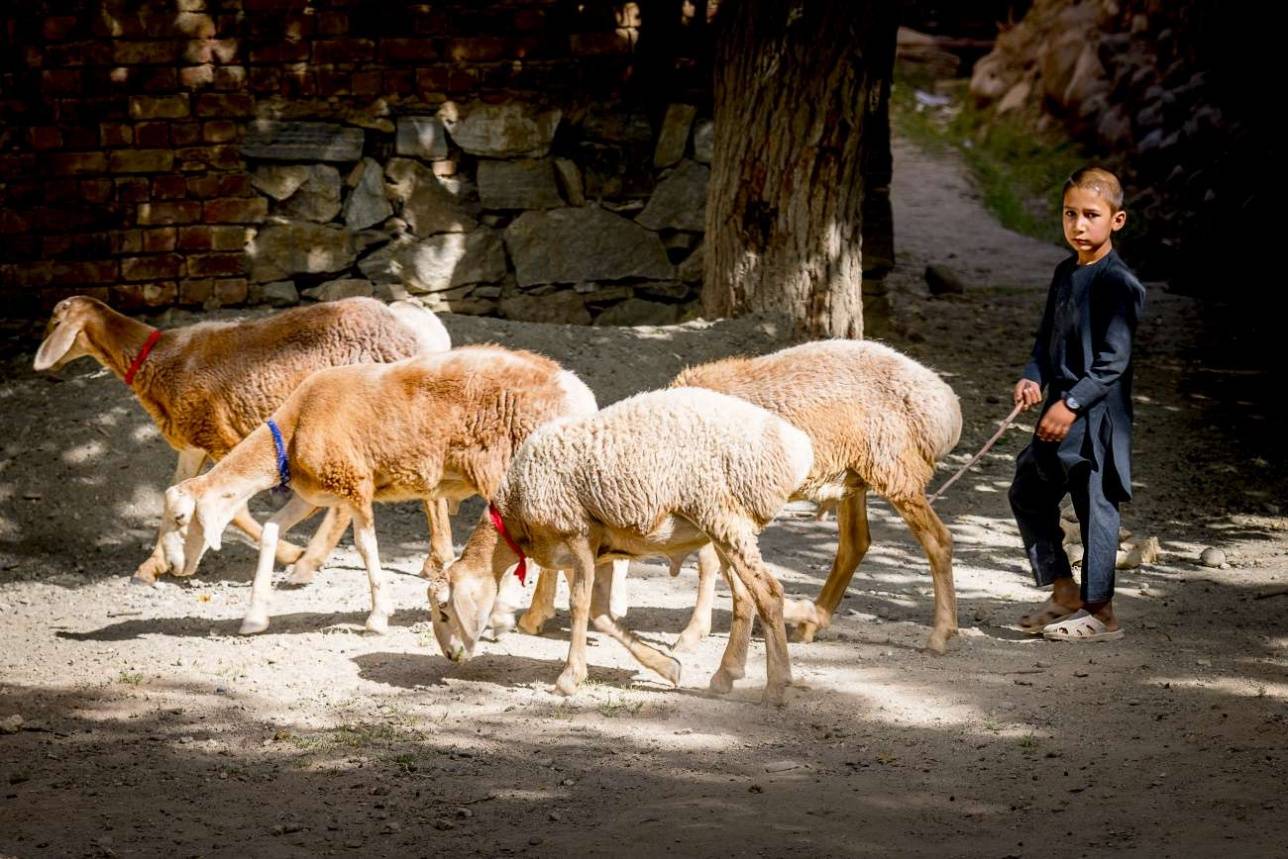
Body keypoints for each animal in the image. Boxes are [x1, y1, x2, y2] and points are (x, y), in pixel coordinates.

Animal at [31, 296, 453, 584]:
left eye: (54, 321)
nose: (44, 368)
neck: (159, 359)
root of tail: (411, 325)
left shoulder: (222, 435)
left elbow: (233, 508)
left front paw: (288, 552)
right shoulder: (193, 442)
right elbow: (176, 489)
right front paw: (152, 565)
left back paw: (312, 562)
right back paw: (434, 559)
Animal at [162, 345, 602, 636]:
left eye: (182, 517)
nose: (174, 567)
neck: (294, 427)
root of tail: (576, 391)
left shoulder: (355, 484)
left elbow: (365, 545)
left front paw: (377, 618)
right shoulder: (314, 494)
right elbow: (271, 531)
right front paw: (254, 618)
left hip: (506, 471)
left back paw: (506, 613)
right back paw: (533, 617)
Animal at [432, 388, 814, 705]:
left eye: (444, 609)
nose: (450, 655)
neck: (514, 515)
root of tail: (795, 447)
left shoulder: (578, 535)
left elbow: (580, 605)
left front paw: (568, 680)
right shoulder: (596, 551)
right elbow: (601, 616)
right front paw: (667, 667)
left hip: (722, 514)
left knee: (768, 593)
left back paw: (776, 686)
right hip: (727, 526)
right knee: (744, 597)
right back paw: (726, 675)